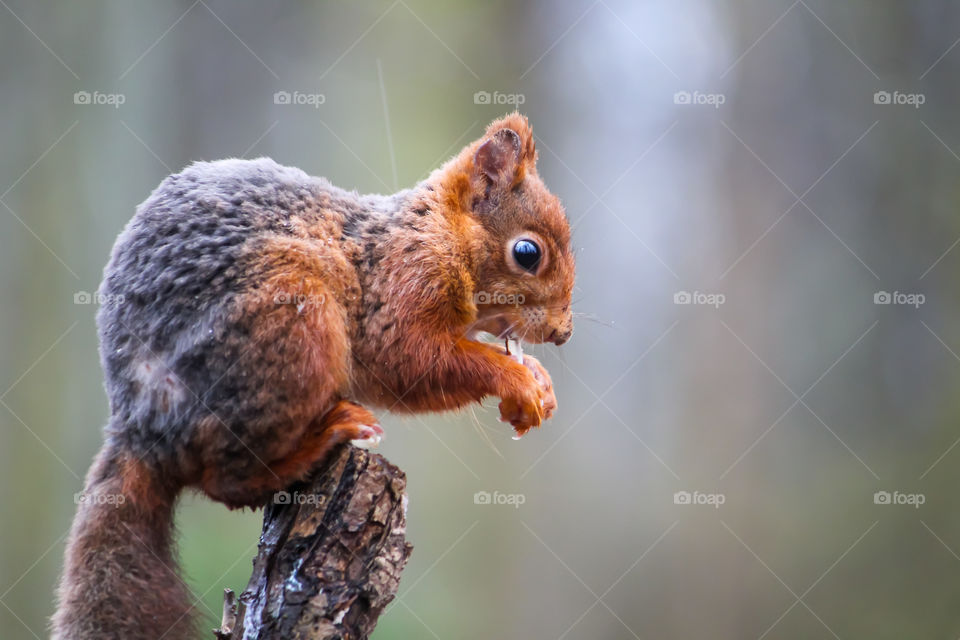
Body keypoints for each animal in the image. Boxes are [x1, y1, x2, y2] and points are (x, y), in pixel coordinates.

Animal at [52, 112, 574, 639]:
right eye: (527, 253)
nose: (563, 333)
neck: (434, 232)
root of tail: (143, 432)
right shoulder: (399, 291)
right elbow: (408, 361)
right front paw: (515, 379)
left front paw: (540, 382)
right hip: (289, 325)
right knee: (226, 481)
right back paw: (321, 440)